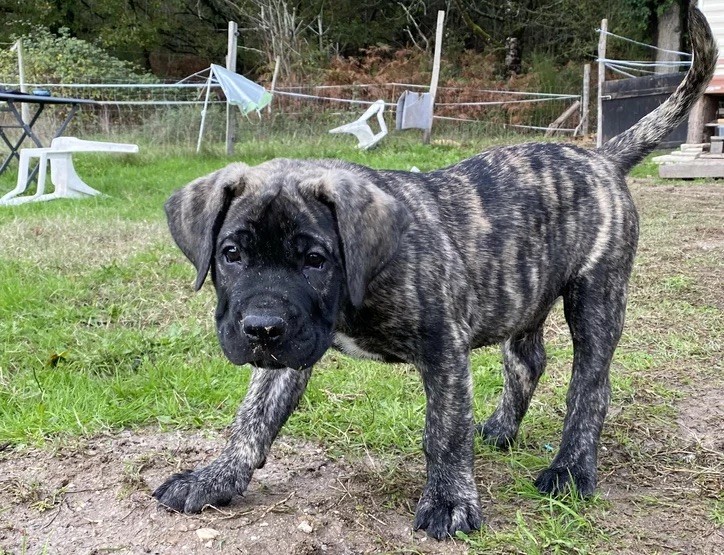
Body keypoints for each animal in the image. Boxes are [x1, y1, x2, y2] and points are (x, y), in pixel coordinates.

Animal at [154, 7, 720, 540]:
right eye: (231, 254)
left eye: (316, 260)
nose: (261, 328)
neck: (359, 285)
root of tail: (601, 158)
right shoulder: (290, 350)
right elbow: (253, 416)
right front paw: (216, 477)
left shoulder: (443, 348)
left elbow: (444, 430)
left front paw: (450, 501)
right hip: (523, 292)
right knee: (527, 360)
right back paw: (501, 429)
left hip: (596, 298)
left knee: (590, 386)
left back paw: (570, 470)